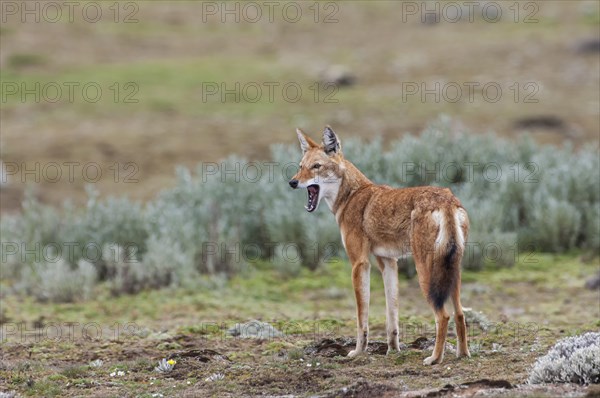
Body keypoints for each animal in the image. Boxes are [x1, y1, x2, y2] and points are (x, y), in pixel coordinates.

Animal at [288, 126, 472, 364]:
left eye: (316, 166)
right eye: (301, 166)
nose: (292, 182)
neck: (351, 196)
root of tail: (447, 199)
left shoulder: (359, 263)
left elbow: (361, 317)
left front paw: (358, 352)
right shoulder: (388, 262)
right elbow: (391, 316)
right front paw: (393, 350)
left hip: (425, 271)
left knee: (444, 315)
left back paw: (434, 359)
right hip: (453, 270)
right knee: (460, 313)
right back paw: (463, 354)